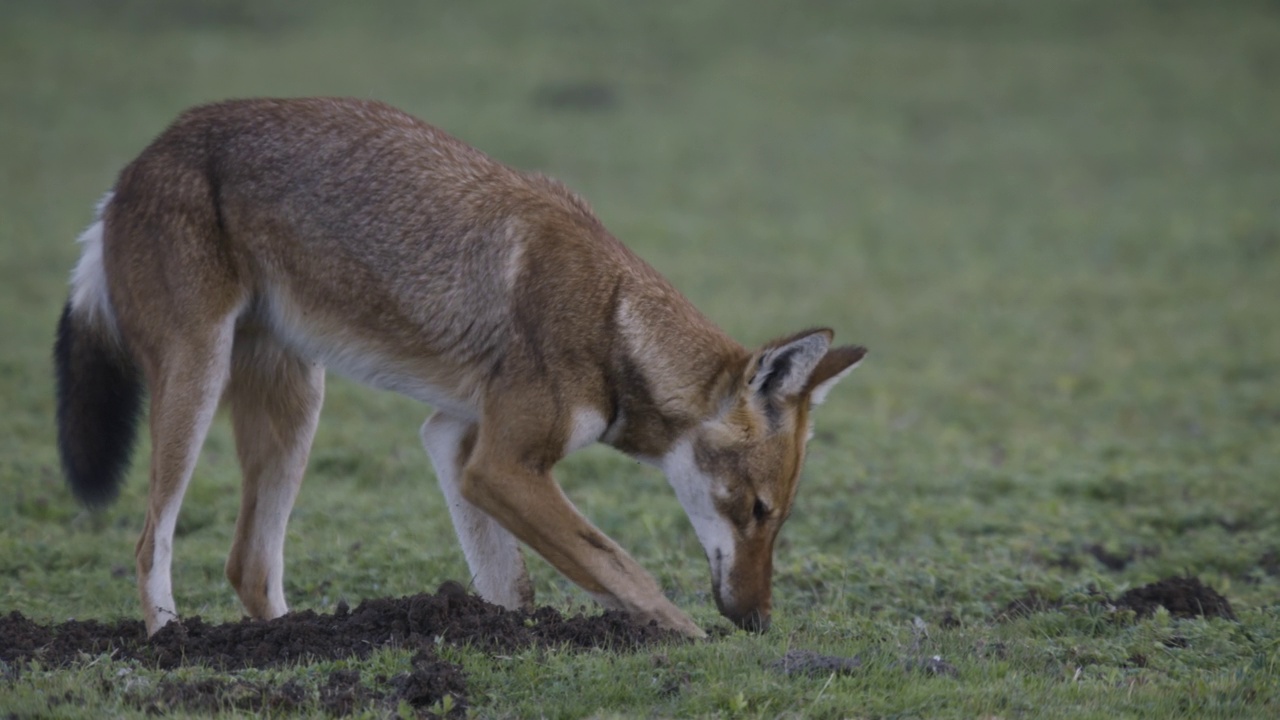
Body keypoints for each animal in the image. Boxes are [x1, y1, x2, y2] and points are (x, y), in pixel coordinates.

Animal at [55, 96, 865, 632]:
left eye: (779, 519)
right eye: (758, 511)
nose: (758, 621)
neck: (613, 322)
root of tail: (135, 165)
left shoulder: (456, 439)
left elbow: (515, 585)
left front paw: (510, 642)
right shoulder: (500, 465)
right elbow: (620, 567)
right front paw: (688, 642)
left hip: (298, 406)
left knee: (249, 566)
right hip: (198, 381)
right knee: (149, 543)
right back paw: (172, 643)